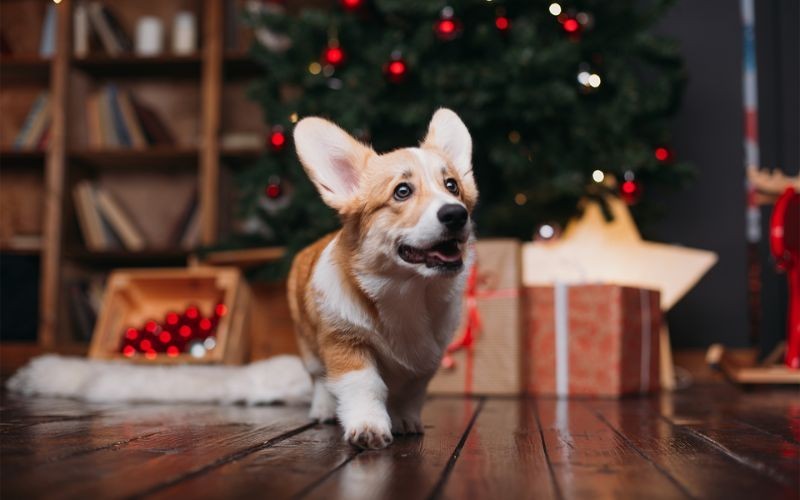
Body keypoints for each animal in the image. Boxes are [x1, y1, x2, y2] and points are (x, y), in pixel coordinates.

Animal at [286, 106, 476, 450]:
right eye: (402, 191)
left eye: (452, 185)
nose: (456, 214)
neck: (405, 292)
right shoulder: (346, 343)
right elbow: (365, 386)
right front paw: (368, 427)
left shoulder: (426, 359)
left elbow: (410, 392)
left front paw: (404, 420)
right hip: (308, 344)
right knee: (319, 378)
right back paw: (322, 409)